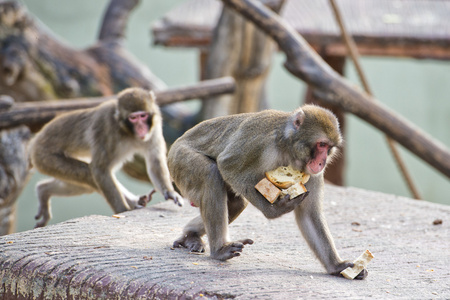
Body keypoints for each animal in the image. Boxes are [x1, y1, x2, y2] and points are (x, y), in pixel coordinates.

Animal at [29, 86, 183, 227]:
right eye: (133, 118)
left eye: (143, 116)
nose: (141, 128)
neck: (128, 132)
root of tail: (37, 139)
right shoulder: (106, 128)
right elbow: (100, 169)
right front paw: (122, 210)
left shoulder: (154, 127)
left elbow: (155, 161)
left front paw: (170, 193)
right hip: (45, 157)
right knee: (88, 173)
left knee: (85, 184)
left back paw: (43, 190)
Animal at [167, 105, 368, 278]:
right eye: (321, 145)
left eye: (329, 147)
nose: (322, 162)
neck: (288, 147)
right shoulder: (260, 141)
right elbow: (227, 165)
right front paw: (274, 211)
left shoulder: (312, 174)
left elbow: (309, 215)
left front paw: (337, 266)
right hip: (180, 161)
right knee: (211, 174)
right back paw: (219, 250)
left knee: (237, 202)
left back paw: (191, 235)